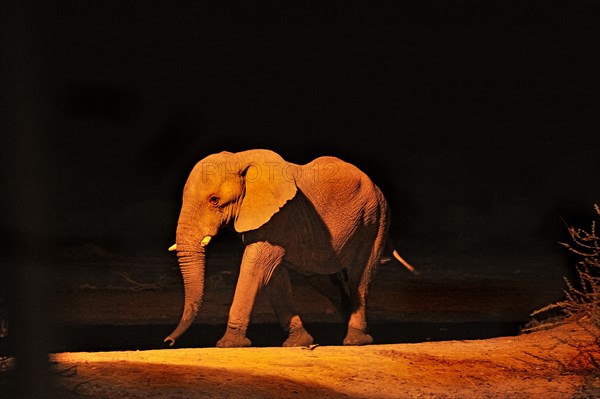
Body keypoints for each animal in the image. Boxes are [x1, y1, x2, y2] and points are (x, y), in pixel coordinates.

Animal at [163, 148, 412, 348]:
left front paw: (228, 344)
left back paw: (356, 340)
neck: (240, 159)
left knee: (360, 277)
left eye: (214, 200)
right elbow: (274, 275)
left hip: (375, 219)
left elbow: (255, 268)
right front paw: (299, 342)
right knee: (325, 281)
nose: (168, 341)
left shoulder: (281, 217)